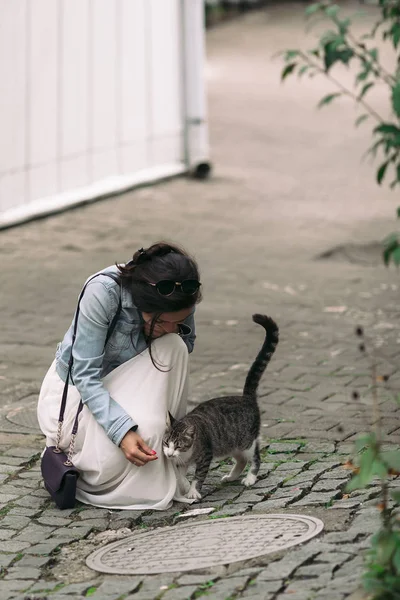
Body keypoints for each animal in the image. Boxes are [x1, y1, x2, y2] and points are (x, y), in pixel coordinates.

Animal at [162, 314, 278, 502]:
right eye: (166, 443)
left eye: (178, 445)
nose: (170, 454)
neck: (187, 453)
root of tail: (246, 397)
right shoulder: (182, 461)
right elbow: (179, 474)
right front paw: (184, 485)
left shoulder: (205, 455)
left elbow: (199, 476)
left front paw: (193, 491)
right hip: (231, 443)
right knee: (241, 460)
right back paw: (231, 476)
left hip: (246, 442)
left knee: (255, 457)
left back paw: (250, 478)